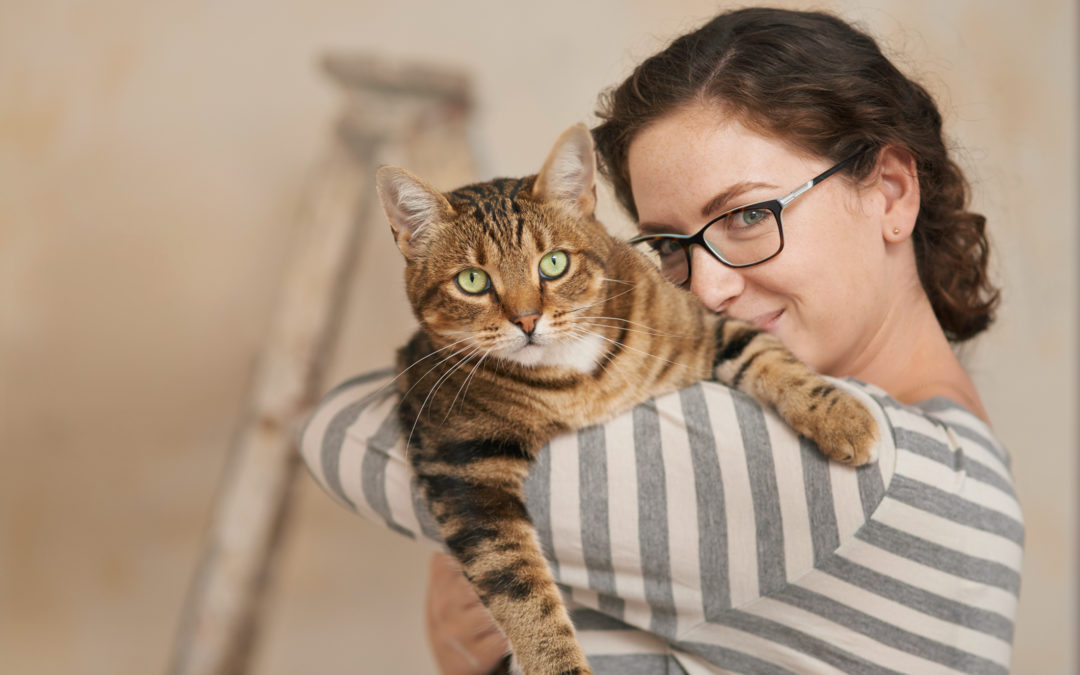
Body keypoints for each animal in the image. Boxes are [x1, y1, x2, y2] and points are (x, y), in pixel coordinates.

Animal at [375, 123, 872, 669]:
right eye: (472, 280)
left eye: (553, 263)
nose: (526, 320)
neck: (578, 382)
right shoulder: (460, 460)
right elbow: (518, 587)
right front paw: (560, 663)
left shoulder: (705, 324)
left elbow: (766, 354)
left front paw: (844, 417)